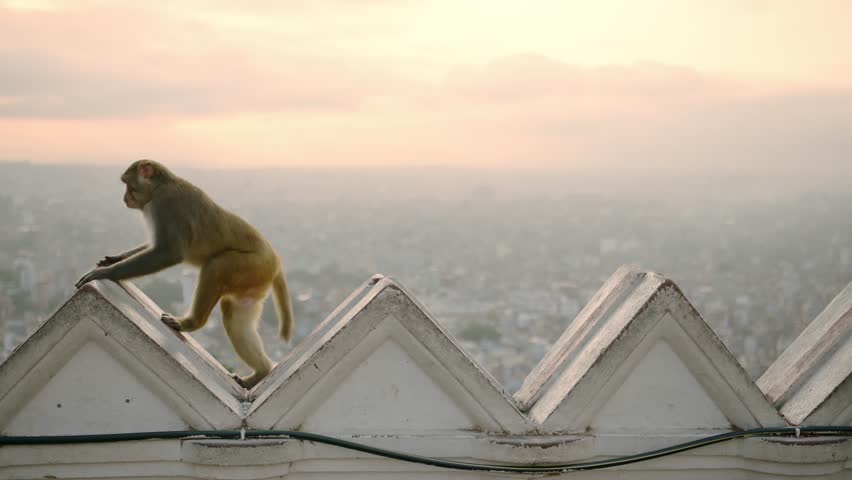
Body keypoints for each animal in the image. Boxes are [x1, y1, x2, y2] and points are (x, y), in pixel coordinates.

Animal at [76, 159, 294, 389]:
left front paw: (105, 272)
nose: (125, 198)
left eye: (128, 184)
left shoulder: (165, 204)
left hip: (254, 264)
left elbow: (168, 252)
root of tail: (276, 260)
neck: (160, 186)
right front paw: (114, 258)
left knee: (217, 266)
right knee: (234, 313)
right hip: (255, 280)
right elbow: (154, 246)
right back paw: (261, 373)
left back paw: (190, 323)